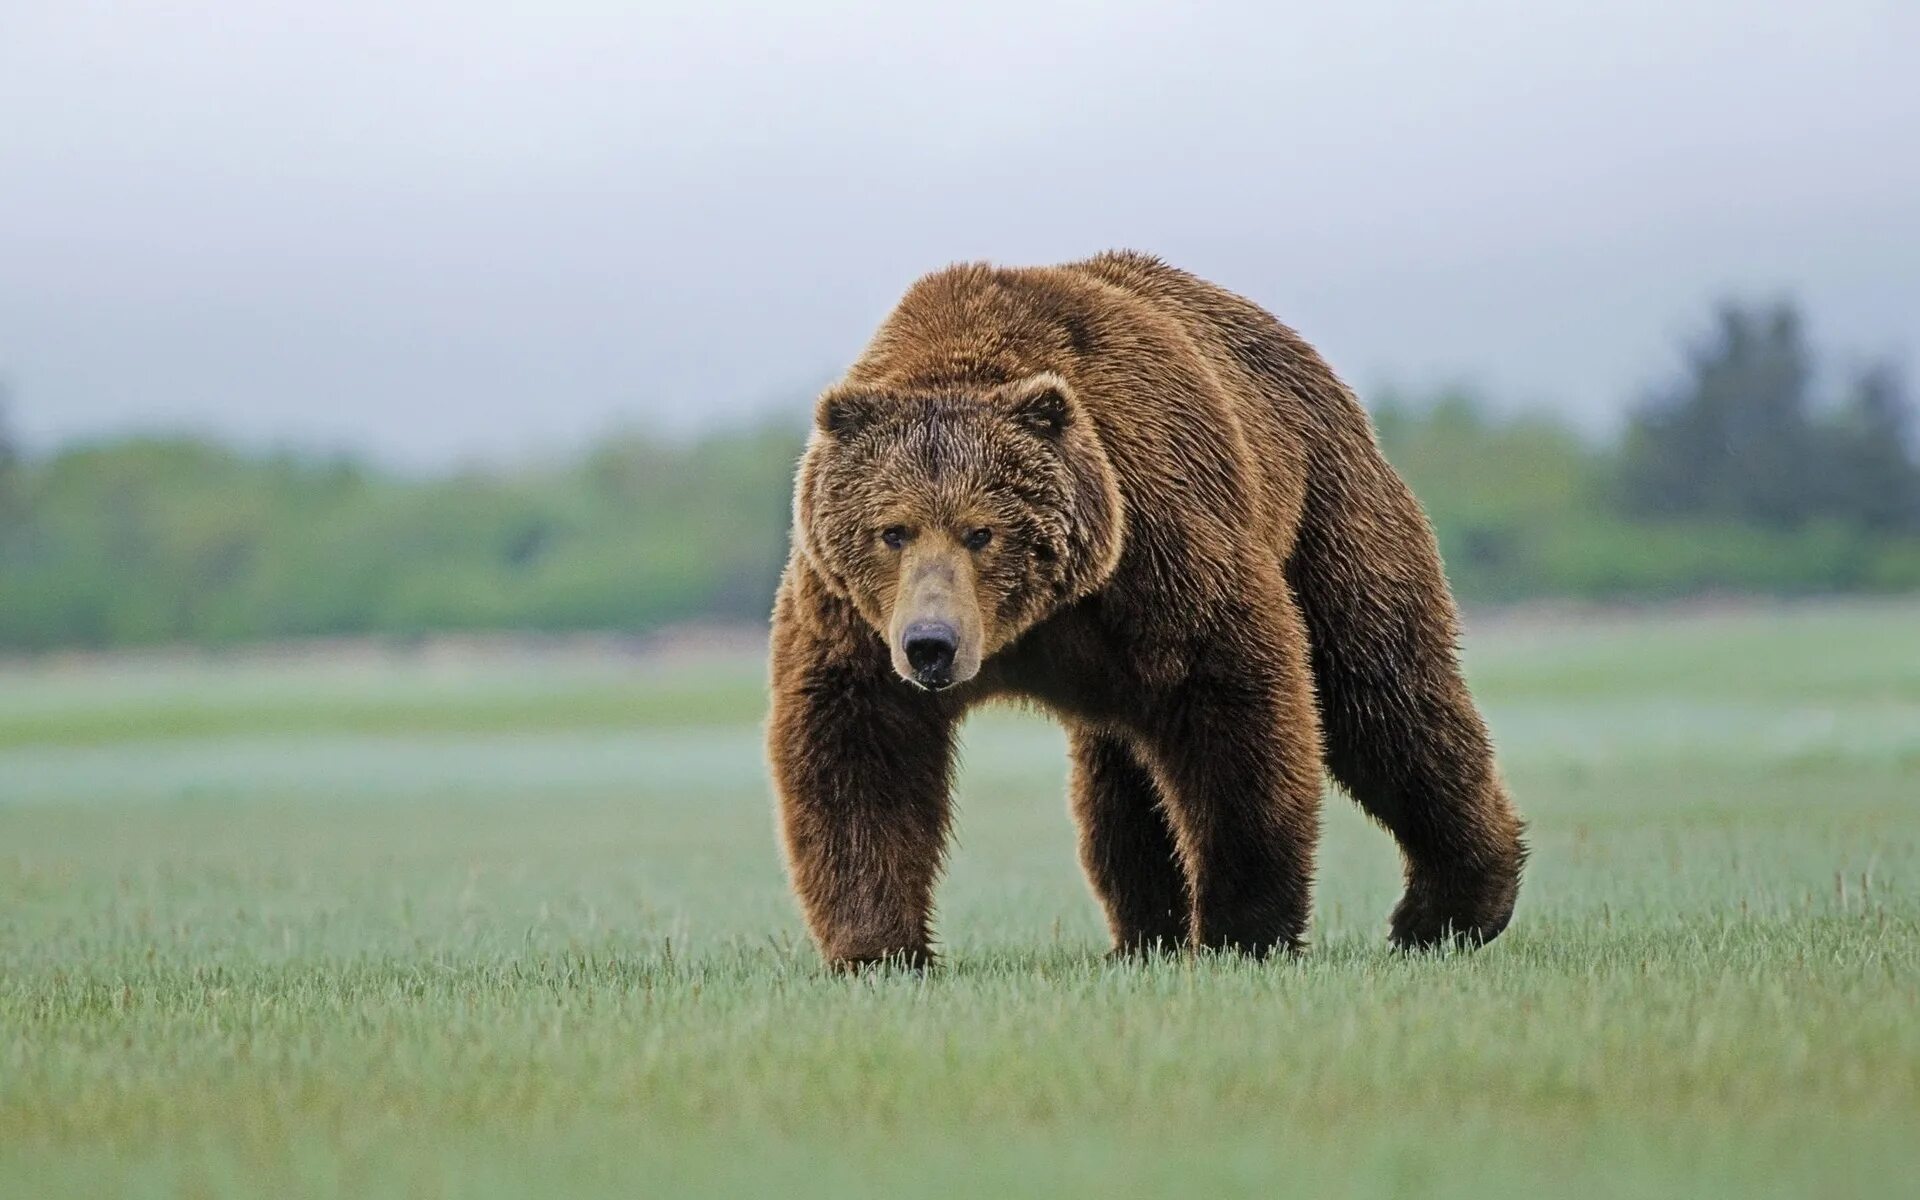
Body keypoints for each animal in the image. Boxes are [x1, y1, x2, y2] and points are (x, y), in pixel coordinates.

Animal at [768, 250, 1524, 968]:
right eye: (893, 530)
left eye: (982, 531)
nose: (932, 643)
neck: (1035, 622)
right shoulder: (854, 618)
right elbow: (860, 751)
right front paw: (879, 947)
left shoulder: (1161, 548)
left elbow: (1237, 713)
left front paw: (1241, 931)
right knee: (1121, 781)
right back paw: (1144, 933)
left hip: (1327, 512)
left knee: (1385, 695)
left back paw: (1450, 909)